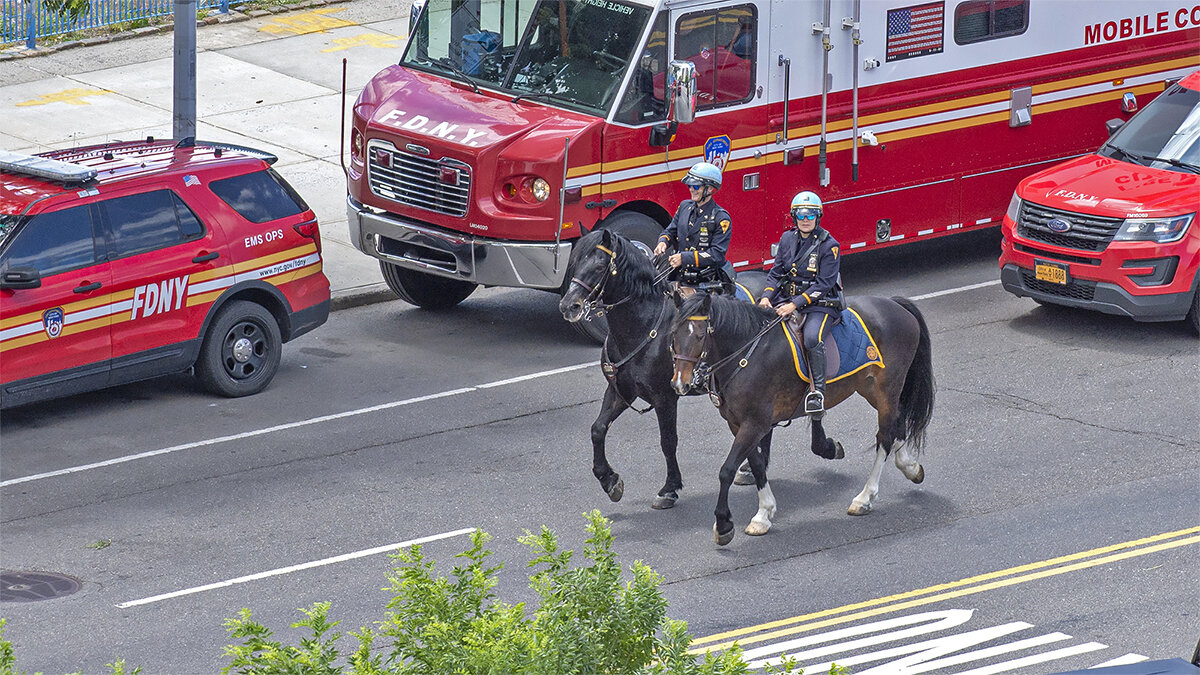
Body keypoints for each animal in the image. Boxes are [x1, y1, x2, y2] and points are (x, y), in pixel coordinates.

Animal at [561, 228, 796, 506]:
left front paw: (669, 488)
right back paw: (750, 468)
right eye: (575, 262)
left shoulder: (664, 397)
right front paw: (609, 480)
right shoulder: (621, 390)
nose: (568, 306)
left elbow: (668, 441)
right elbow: (598, 429)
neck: (644, 324)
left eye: (598, 265)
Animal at [667, 289, 936, 540]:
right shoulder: (738, 423)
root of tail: (893, 303)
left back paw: (865, 497)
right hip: (870, 389)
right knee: (897, 422)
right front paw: (763, 514)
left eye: (700, 335)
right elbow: (756, 465)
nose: (680, 383)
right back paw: (910, 467)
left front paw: (724, 524)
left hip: (887, 387)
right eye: (673, 335)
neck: (747, 355)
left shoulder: (755, 423)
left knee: (885, 436)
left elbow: (727, 470)